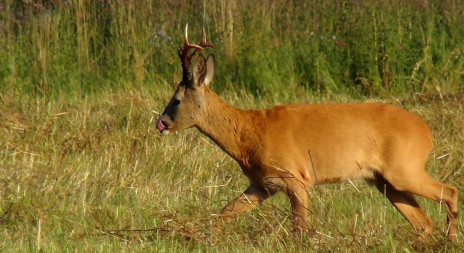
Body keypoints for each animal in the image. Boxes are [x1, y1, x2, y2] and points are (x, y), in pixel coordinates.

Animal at [155, 24, 456, 240]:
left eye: (176, 100)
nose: (161, 122)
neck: (248, 134)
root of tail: (426, 132)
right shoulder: (262, 184)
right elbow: (224, 213)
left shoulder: (295, 176)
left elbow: (299, 229)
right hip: (384, 180)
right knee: (423, 221)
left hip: (403, 167)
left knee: (450, 192)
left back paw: (452, 238)